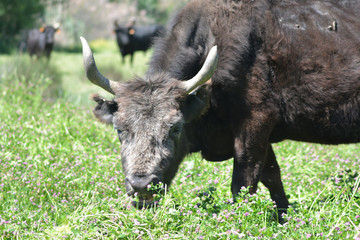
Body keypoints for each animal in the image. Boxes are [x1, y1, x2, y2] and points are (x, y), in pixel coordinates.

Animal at [81, 0, 360, 222]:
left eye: (175, 128)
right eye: (119, 129)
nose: (141, 185)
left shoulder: (255, 125)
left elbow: (244, 183)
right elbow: (273, 177)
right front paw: (284, 218)